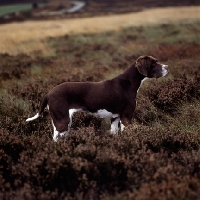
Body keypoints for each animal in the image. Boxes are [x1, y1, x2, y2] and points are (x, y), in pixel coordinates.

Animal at [25, 55, 168, 141]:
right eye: (154, 63)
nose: (167, 67)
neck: (129, 82)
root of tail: (49, 93)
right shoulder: (126, 117)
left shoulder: (115, 117)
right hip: (62, 122)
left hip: (62, 121)